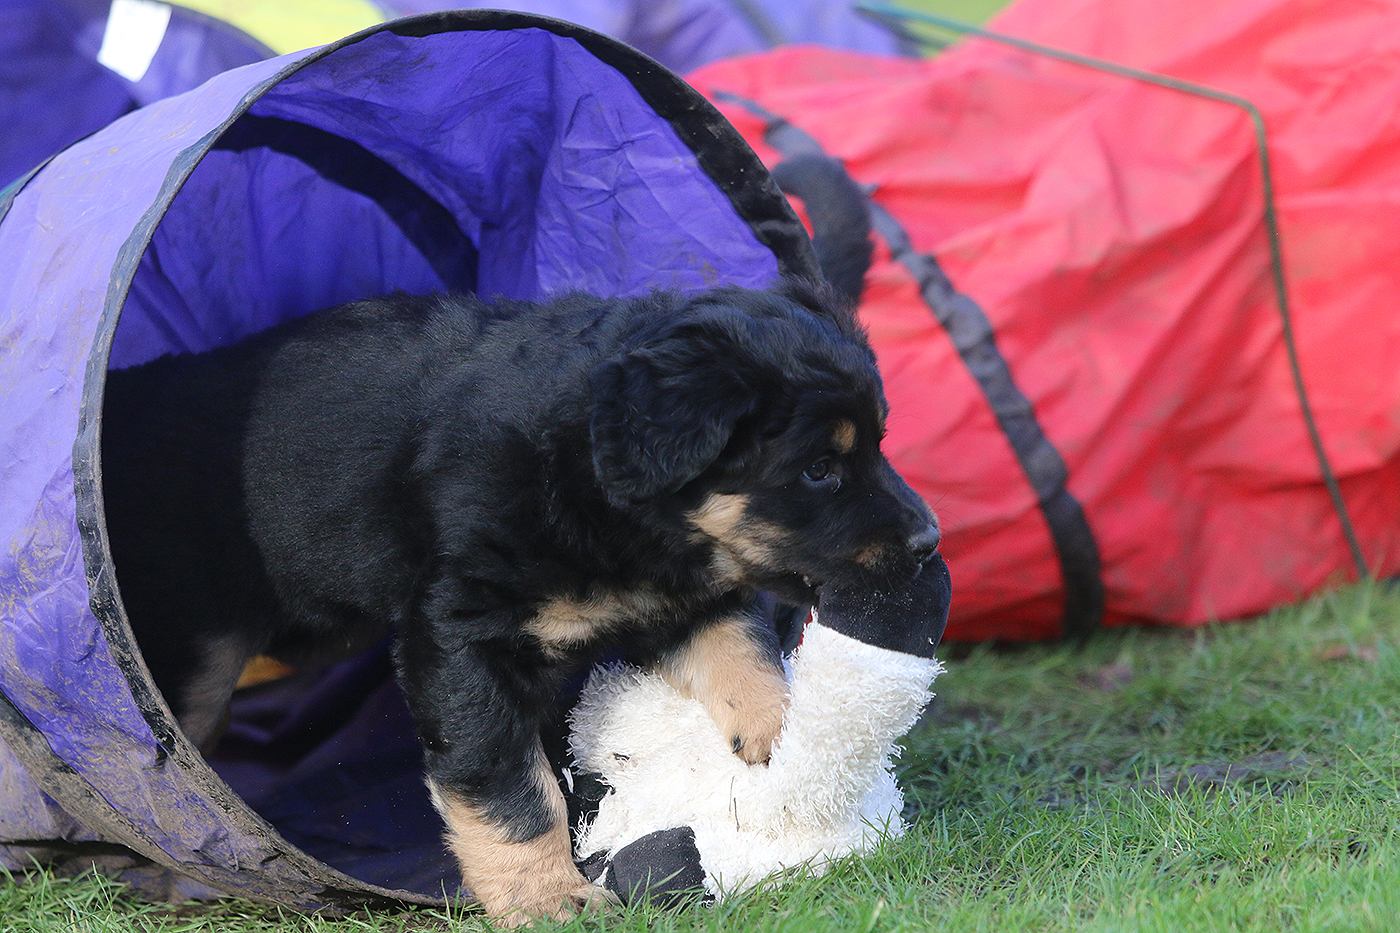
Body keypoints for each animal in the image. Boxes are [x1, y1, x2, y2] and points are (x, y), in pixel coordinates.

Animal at [101, 162, 938, 926]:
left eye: (878, 444)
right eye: (820, 467)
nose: (928, 539)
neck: (584, 472)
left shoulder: (684, 592)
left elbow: (743, 654)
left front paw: (778, 739)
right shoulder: (464, 637)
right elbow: (508, 787)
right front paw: (547, 898)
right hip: (192, 648)